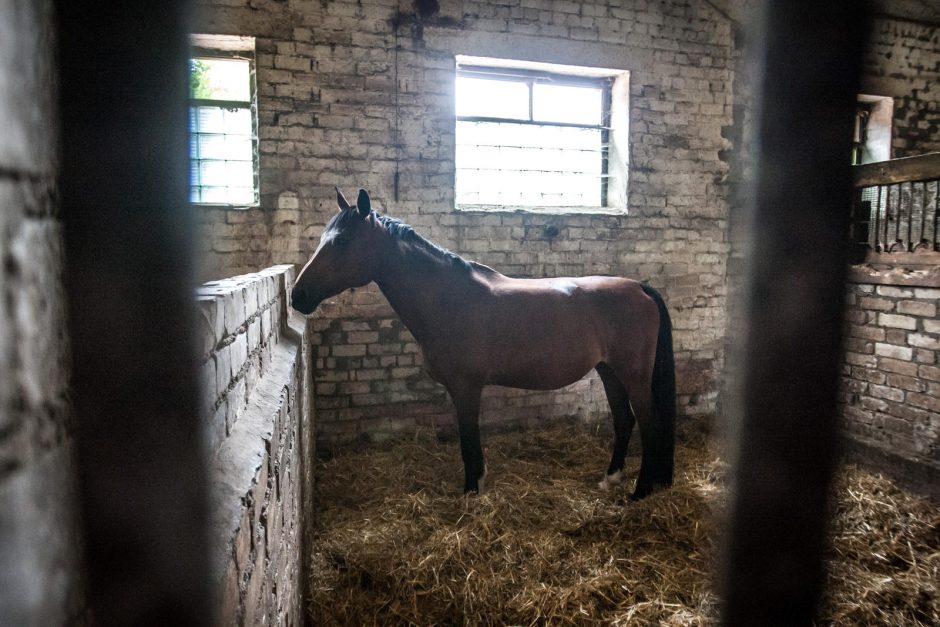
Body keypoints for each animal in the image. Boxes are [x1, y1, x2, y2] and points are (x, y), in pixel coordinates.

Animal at [292, 186, 676, 500]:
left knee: (649, 423)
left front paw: (471, 489)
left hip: (633, 376)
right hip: (609, 371)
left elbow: (468, 439)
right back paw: (610, 479)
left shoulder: (466, 388)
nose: (298, 295)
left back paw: (640, 492)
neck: (450, 297)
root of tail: (640, 287)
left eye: (342, 241)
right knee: (624, 421)